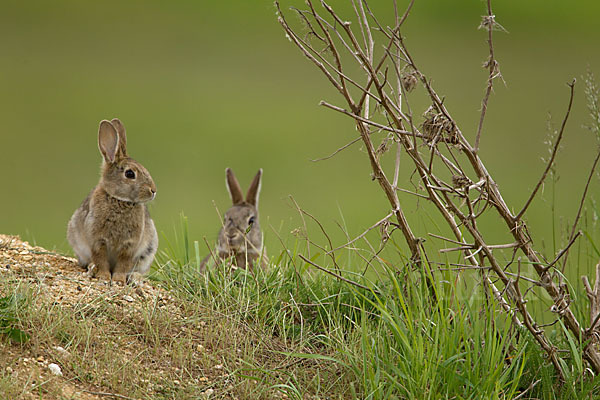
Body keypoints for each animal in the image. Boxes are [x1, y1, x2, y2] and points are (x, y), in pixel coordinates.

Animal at [67, 119, 158, 284]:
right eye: (130, 174)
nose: (153, 190)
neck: (119, 200)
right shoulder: (98, 240)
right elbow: (101, 259)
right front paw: (104, 276)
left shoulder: (130, 246)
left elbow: (123, 263)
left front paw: (118, 280)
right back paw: (92, 268)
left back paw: (135, 277)